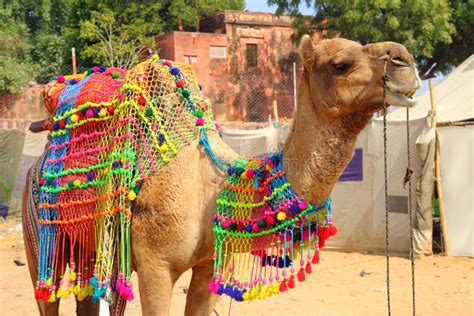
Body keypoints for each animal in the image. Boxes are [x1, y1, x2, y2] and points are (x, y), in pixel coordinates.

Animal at [24, 35, 420, 314]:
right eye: (341, 63)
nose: (406, 59)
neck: (212, 189)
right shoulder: (155, 266)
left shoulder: (207, 266)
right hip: (41, 239)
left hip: (87, 246)